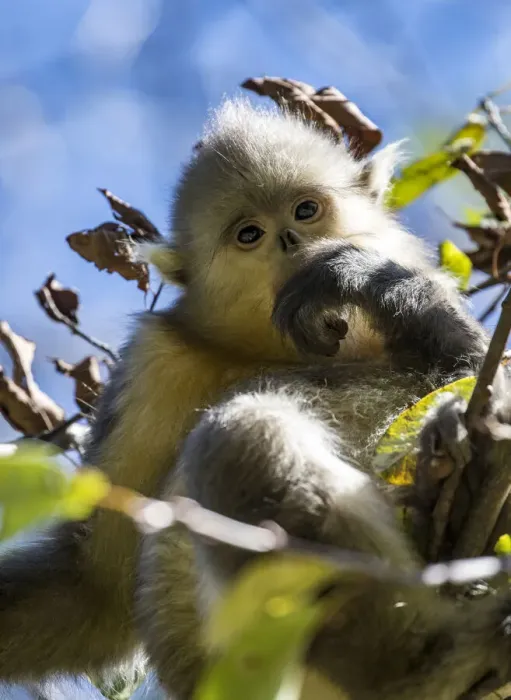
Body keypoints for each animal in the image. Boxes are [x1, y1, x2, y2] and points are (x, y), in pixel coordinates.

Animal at [0, 97, 508, 699]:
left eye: (306, 210)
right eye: (250, 235)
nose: (289, 240)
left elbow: (472, 375)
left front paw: (369, 281)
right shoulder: (156, 360)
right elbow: (94, 592)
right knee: (242, 433)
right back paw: (419, 664)